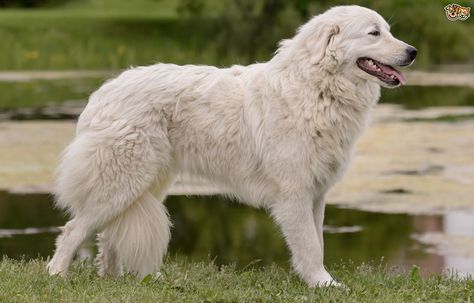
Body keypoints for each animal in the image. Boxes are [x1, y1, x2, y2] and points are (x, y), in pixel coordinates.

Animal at [48, 5, 416, 288]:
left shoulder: (317, 193)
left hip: (143, 185)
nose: (412, 52)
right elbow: (310, 246)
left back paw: (113, 280)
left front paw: (318, 281)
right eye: (373, 33)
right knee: (73, 230)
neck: (317, 87)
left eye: (388, 31)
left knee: (107, 235)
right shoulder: (294, 193)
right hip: (122, 180)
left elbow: (319, 242)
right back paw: (57, 275)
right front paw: (323, 284)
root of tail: (101, 93)